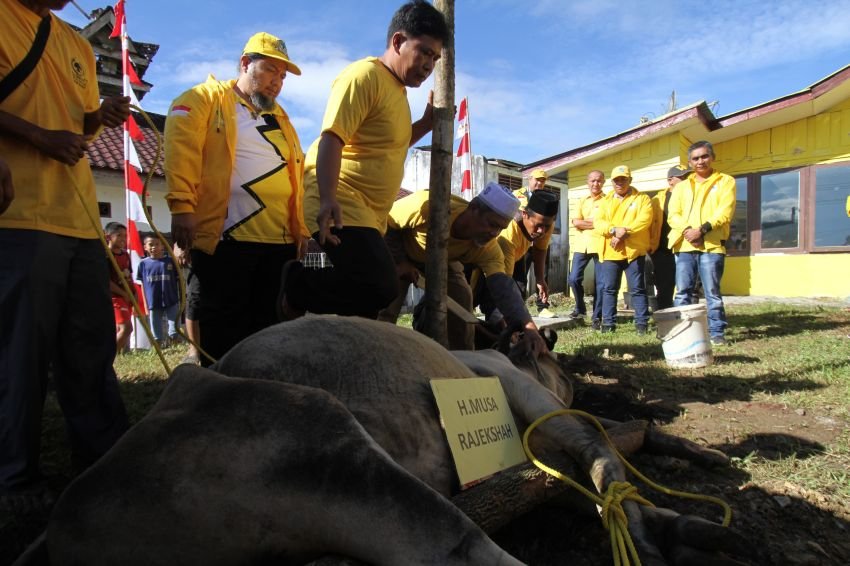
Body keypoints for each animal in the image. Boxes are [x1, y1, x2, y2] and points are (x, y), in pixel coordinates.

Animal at [43, 320, 744, 566]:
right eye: (549, 358)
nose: (569, 372)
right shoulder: (515, 385)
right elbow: (599, 454)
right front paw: (653, 527)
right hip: (329, 445)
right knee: (462, 545)